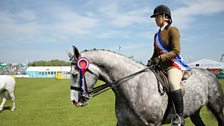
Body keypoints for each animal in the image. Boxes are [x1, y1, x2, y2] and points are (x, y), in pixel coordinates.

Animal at [69, 47, 224, 125]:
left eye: (75, 74)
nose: (74, 101)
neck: (134, 86)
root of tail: (209, 72)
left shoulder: (151, 124)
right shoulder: (124, 123)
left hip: (216, 108)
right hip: (194, 112)